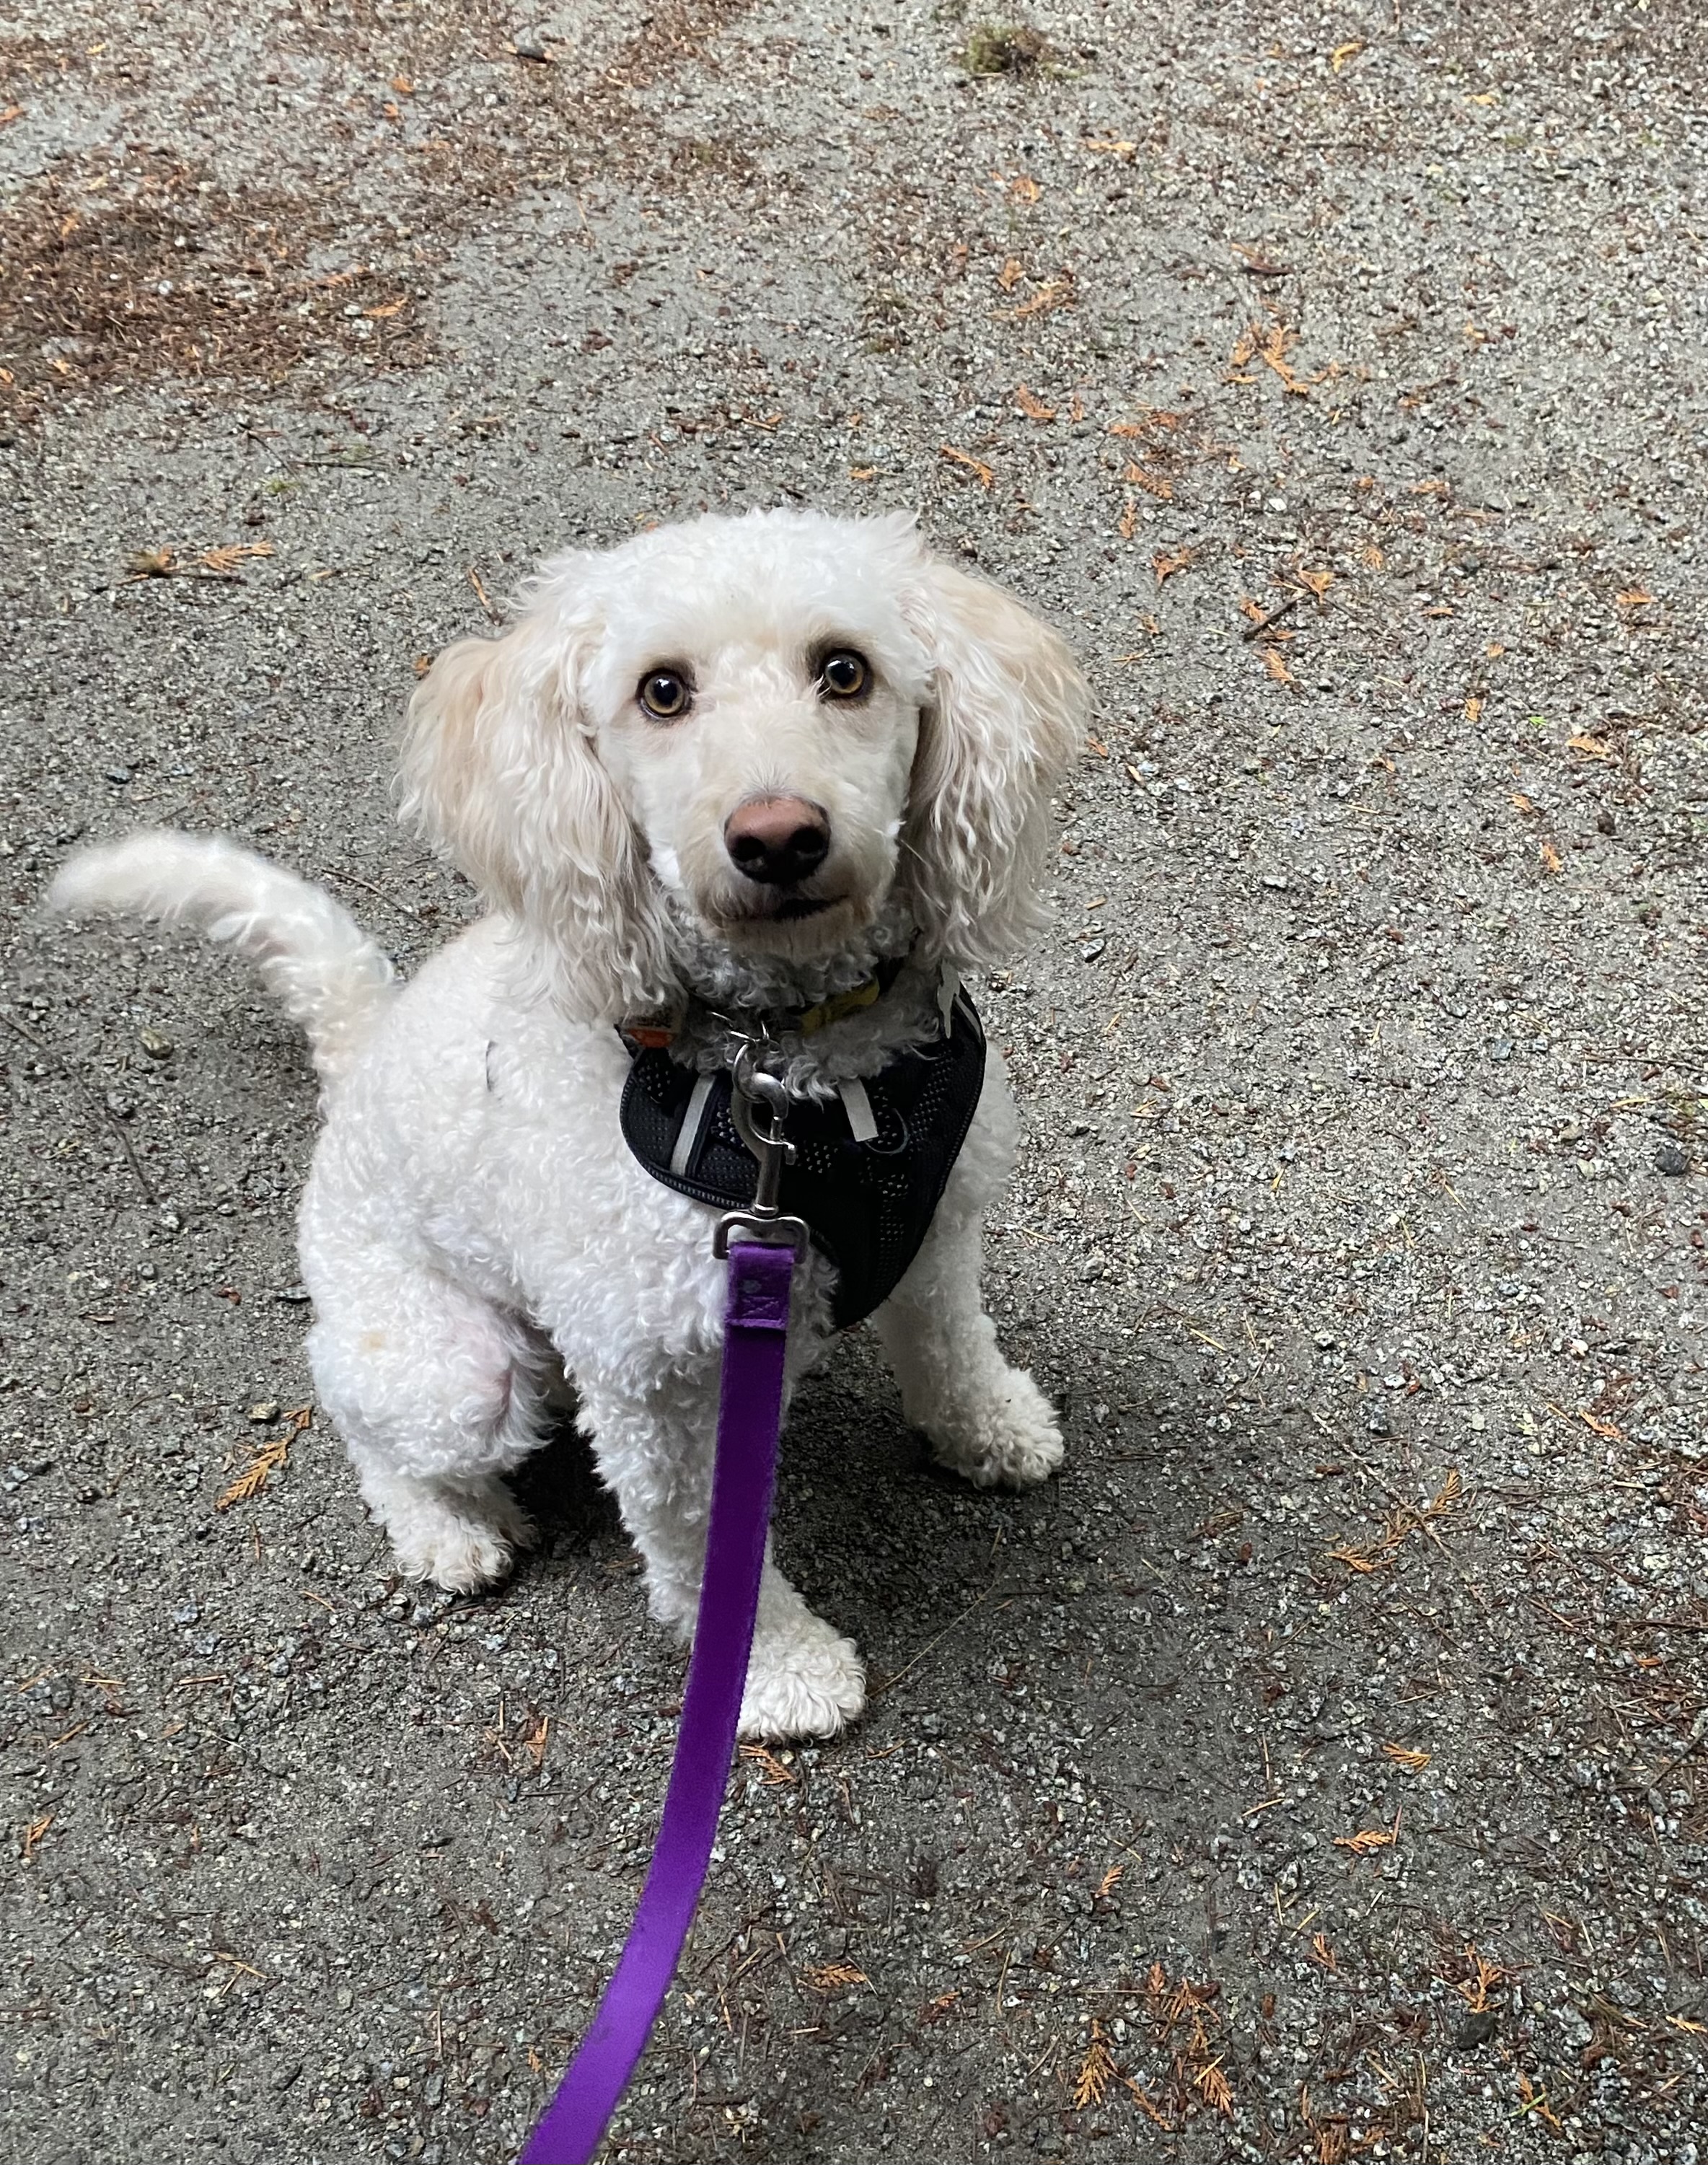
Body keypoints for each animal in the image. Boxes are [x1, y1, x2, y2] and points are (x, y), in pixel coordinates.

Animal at [50, 508, 1086, 1740]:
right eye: (662, 692)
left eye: (845, 670)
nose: (777, 836)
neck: (790, 1071)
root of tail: (362, 1053)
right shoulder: (655, 1385)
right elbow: (703, 1550)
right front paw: (777, 1670)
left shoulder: (935, 1226)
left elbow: (950, 1345)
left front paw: (991, 1428)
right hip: (455, 1371)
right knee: (360, 1418)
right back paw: (448, 1530)